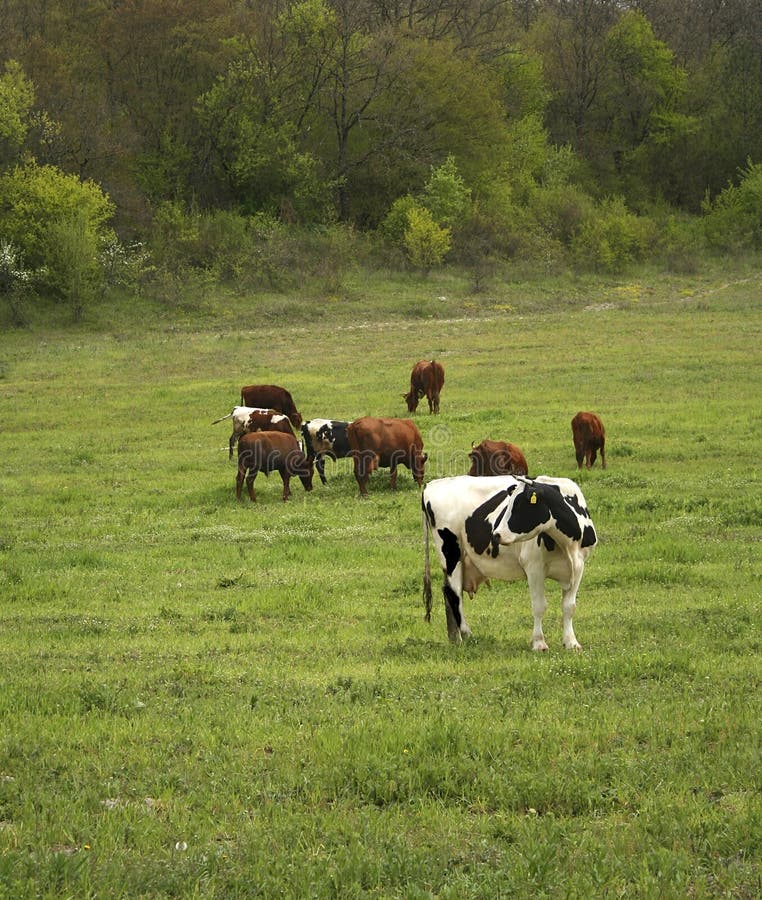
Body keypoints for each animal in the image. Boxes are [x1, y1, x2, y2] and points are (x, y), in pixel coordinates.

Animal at [422, 474, 592, 652]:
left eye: (520, 506)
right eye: (508, 505)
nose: (496, 534)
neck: (568, 546)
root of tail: (432, 484)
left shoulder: (579, 566)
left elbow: (569, 606)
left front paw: (571, 643)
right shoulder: (534, 568)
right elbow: (539, 606)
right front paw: (539, 643)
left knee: (449, 591)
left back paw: (454, 637)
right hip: (450, 552)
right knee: (453, 593)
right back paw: (466, 633)